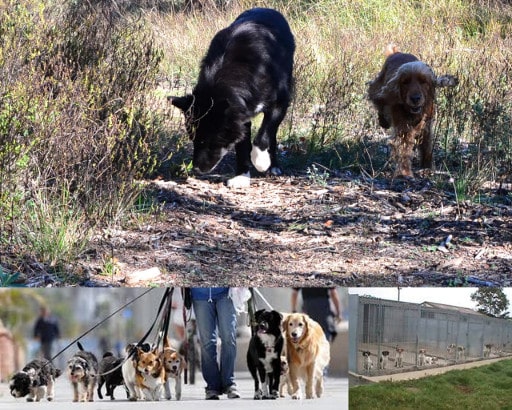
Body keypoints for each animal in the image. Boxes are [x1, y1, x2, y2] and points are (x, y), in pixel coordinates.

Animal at [170, 8, 294, 188]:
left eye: (210, 140)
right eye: (192, 138)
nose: (197, 169)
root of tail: (265, 8)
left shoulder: (280, 104)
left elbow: (263, 135)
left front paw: (260, 161)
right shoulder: (242, 116)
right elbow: (241, 147)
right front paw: (242, 176)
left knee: (272, 134)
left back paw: (273, 166)